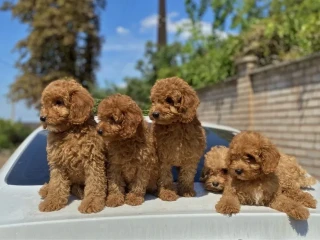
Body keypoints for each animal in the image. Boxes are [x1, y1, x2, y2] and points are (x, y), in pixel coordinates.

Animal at [38, 79, 106, 214]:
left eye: (59, 102)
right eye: (44, 104)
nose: (42, 118)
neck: (69, 131)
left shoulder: (93, 161)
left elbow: (94, 184)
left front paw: (91, 203)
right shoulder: (57, 163)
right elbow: (56, 184)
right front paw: (51, 201)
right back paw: (46, 189)